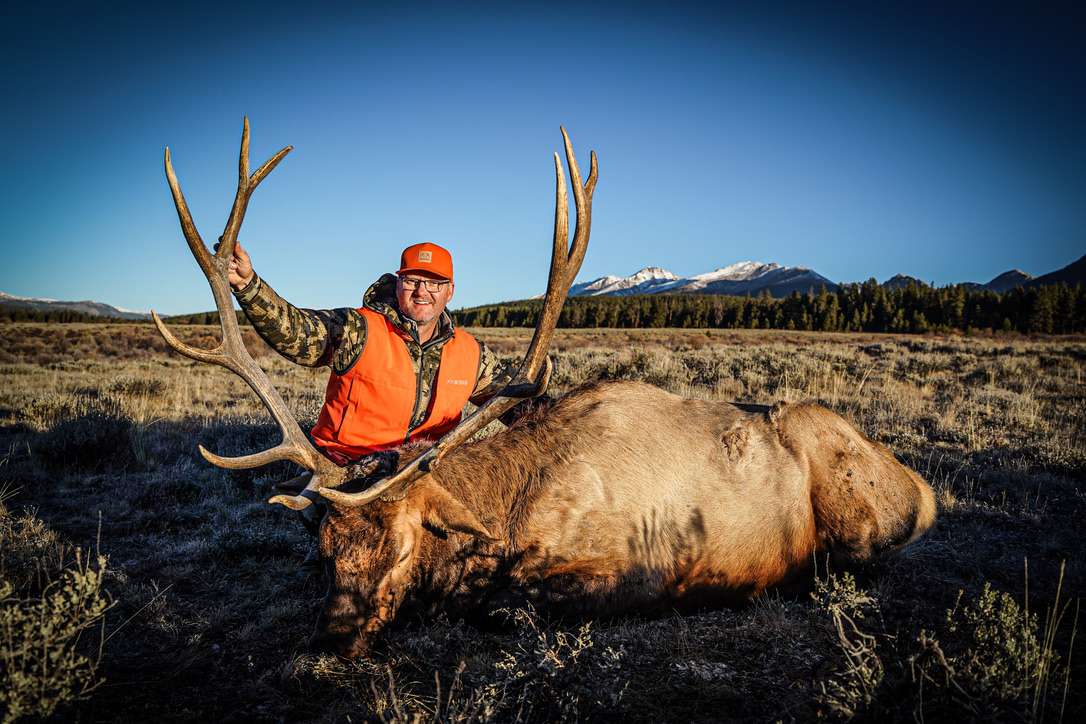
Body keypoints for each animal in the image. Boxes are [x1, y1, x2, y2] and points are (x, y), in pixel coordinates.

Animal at [152, 120, 937, 658]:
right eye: (323, 551)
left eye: (402, 546)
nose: (334, 635)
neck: (510, 509)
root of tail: (924, 488)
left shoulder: (635, 572)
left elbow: (512, 601)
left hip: (851, 504)